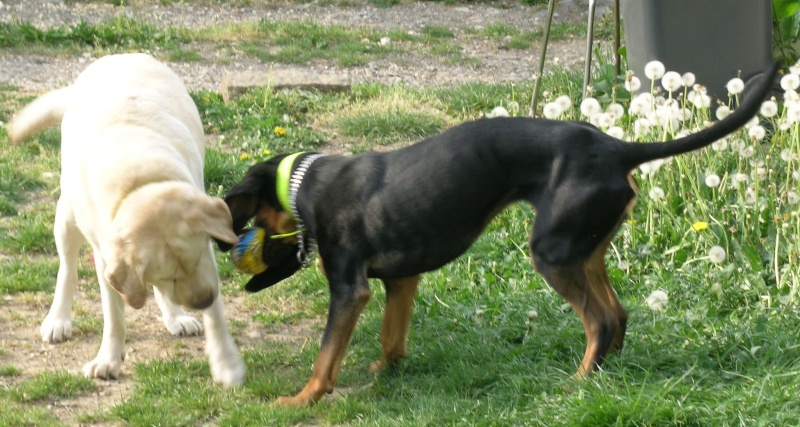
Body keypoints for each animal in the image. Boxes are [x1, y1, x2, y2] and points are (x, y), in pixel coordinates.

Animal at [7, 53, 245, 388]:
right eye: (169, 276)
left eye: (197, 260)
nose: (203, 300)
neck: (140, 183)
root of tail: (120, 55)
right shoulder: (108, 262)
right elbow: (114, 315)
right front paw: (108, 360)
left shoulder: (207, 258)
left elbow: (217, 319)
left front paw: (226, 365)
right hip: (66, 219)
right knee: (67, 271)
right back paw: (58, 320)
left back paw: (175, 317)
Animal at [222, 64, 780, 408]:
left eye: (254, 223)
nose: (240, 248)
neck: (305, 183)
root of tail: (617, 147)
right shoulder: (401, 281)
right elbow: (392, 338)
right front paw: (384, 371)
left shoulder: (348, 289)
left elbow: (325, 358)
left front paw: (302, 399)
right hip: (582, 249)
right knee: (617, 314)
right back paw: (605, 374)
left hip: (551, 253)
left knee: (599, 319)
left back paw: (577, 383)